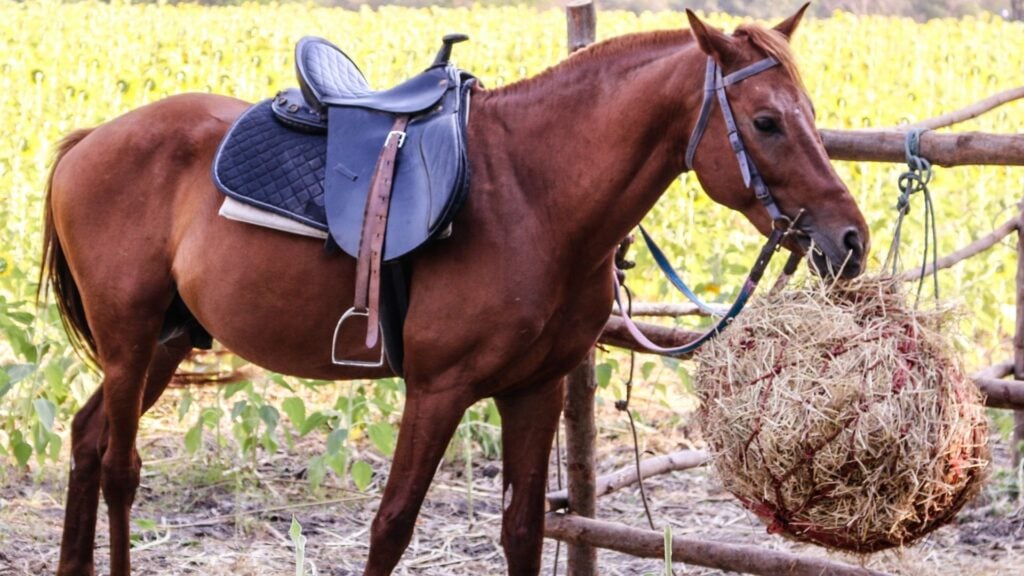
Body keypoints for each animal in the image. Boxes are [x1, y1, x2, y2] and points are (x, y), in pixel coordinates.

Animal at [44, 5, 868, 573]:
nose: (851, 241)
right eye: (766, 121)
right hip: (129, 340)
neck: (533, 195)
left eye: (811, 115)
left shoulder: (535, 391)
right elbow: (392, 525)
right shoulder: (437, 391)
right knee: (120, 469)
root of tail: (90, 139)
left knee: (87, 441)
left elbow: (523, 530)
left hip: (165, 342)